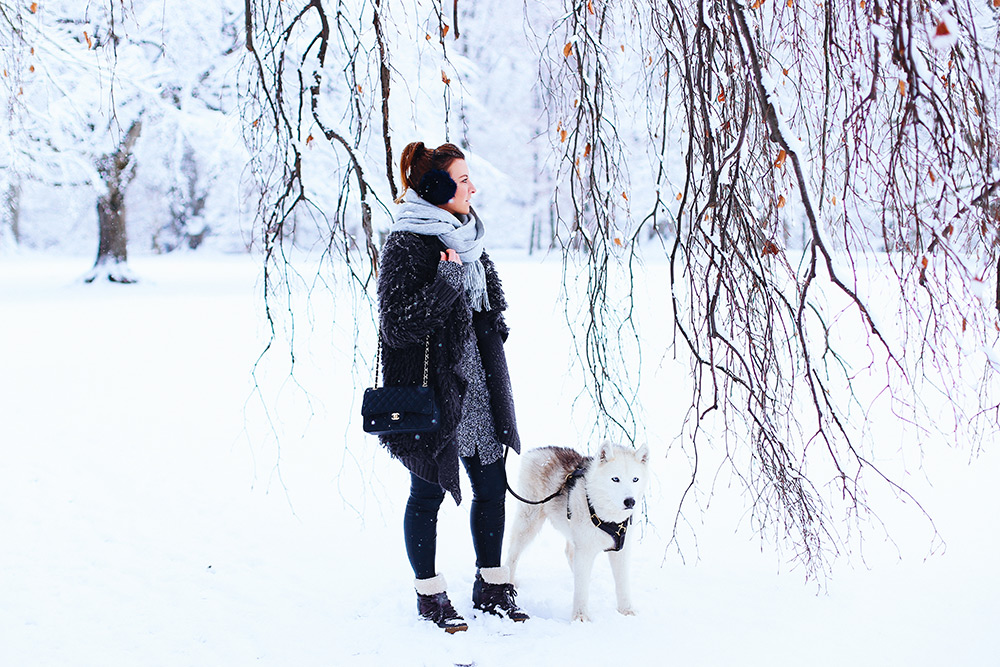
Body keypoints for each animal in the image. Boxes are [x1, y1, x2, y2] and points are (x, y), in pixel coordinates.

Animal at [508, 440, 648, 624]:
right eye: (615, 479)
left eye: (635, 479)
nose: (630, 501)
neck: (608, 518)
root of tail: (538, 450)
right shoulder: (585, 550)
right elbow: (581, 590)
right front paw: (580, 617)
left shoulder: (620, 551)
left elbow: (622, 584)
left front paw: (626, 611)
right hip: (529, 521)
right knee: (512, 555)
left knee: (569, 553)